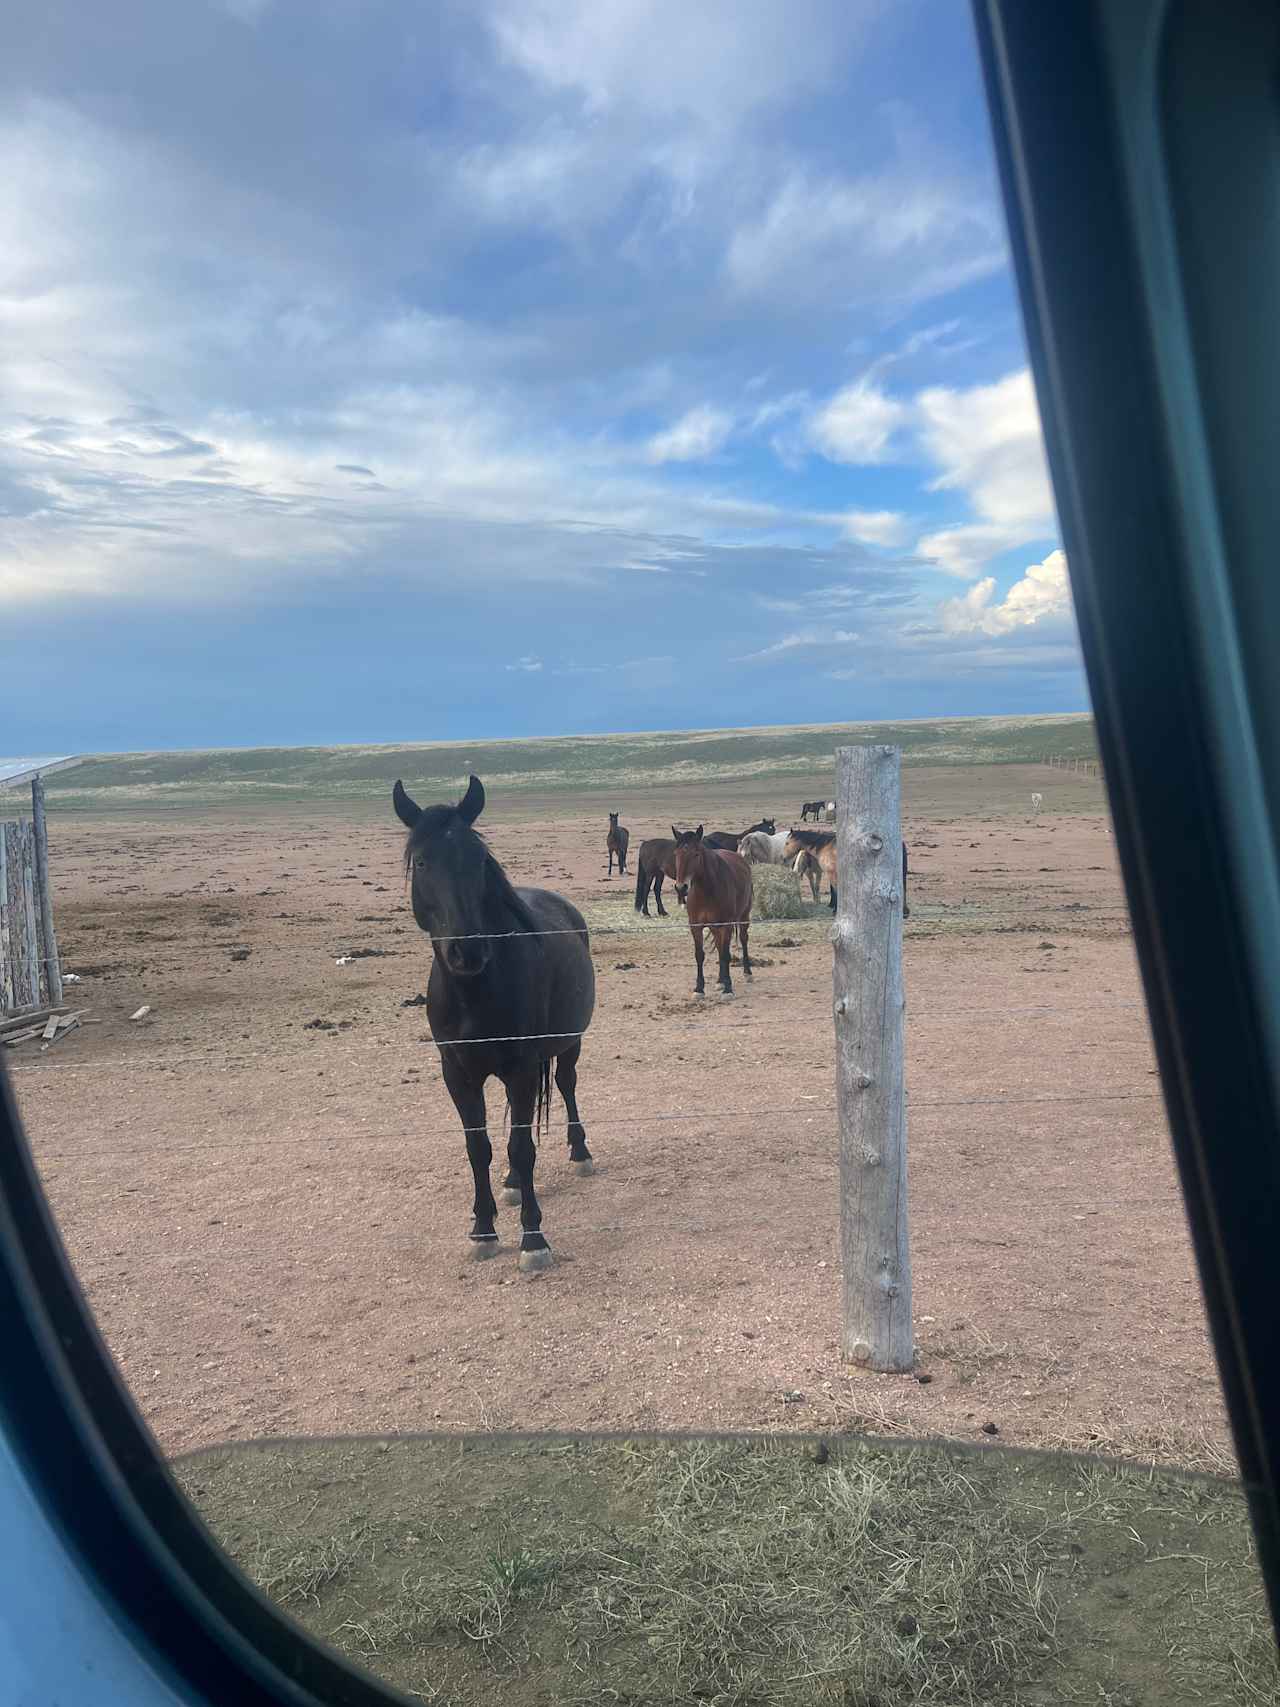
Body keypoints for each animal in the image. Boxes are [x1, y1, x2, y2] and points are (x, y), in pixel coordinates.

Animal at [390, 774, 597, 1270]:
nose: (467, 951)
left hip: (569, 1044)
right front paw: (482, 1229)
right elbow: (478, 1147)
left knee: (566, 1085)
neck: (475, 995)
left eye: (479, 861)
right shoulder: (457, 1074)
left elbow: (522, 1148)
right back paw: (511, 1184)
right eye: (422, 861)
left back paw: (579, 1152)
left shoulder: (521, 1068)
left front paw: (533, 1239)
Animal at [672, 822, 750, 996]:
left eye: (696, 854)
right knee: (720, 947)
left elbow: (726, 955)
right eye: (676, 854)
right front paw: (699, 988)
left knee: (743, 939)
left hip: (743, 916)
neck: (707, 890)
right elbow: (700, 955)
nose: (681, 887)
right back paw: (720, 981)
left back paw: (747, 973)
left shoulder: (726, 925)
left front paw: (728, 989)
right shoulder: (696, 926)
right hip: (715, 927)